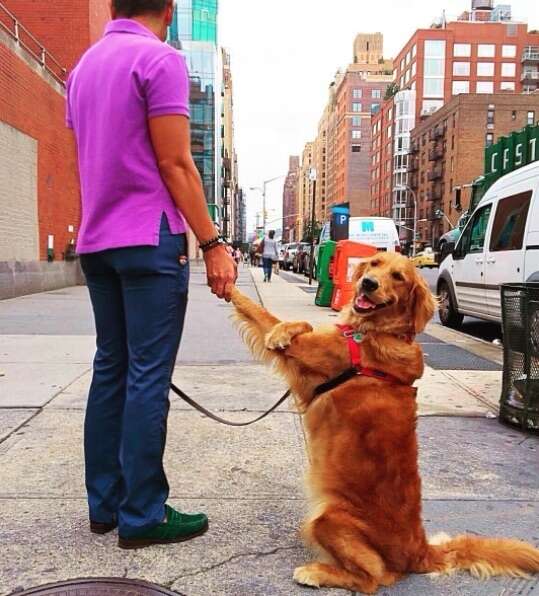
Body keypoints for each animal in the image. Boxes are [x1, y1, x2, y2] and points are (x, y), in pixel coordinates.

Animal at [230, 250, 539, 592]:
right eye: (375, 263)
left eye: (399, 276)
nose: (368, 283)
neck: (378, 330)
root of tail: (420, 550)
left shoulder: (311, 354)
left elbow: (270, 314)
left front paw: (234, 285)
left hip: (329, 517)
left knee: (373, 577)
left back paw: (316, 572)